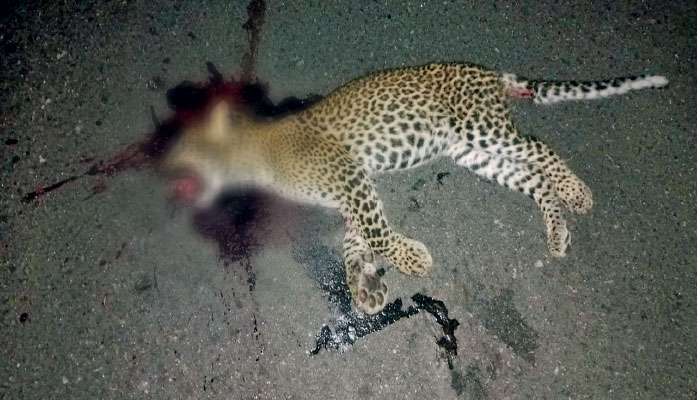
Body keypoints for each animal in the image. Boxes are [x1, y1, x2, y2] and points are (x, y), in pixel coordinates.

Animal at [160, 62, 668, 314]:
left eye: (185, 150)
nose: (164, 175)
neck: (255, 154)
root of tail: (489, 72)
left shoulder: (350, 176)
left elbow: (375, 231)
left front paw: (411, 260)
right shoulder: (350, 191)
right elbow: (355, 239)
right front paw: (364, 285)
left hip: (483, 128)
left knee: (541, 148)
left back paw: (577, 193)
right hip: (471, 151)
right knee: (533, 175)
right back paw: (557, 230)